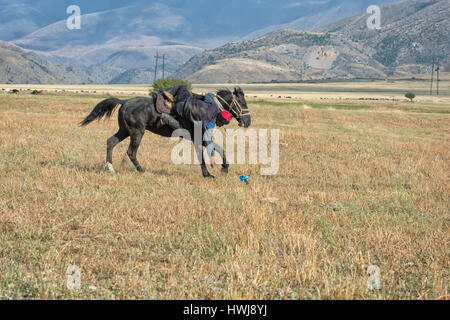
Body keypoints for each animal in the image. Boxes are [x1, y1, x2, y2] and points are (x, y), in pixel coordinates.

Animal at [79, 88, 251, 178]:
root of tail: (125, 102)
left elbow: (217, 148)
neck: (209, 106)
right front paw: (208, 173)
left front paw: (224, 167)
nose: (248, 122)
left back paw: (110, 167)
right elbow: (203, 155)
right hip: (137, 132)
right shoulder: (198, 137)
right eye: (242, 102)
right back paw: (141, 170)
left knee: (111, 142)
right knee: (131, 152)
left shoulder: (201, 138)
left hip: (125, 131)